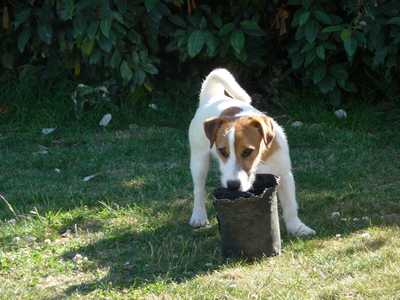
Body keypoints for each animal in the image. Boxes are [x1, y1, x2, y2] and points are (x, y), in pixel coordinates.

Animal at [188, 68, 316, 237]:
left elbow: (290, 205)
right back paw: (198, 215)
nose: (233, 186)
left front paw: (297, 227)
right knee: (199, 188)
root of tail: (212, 97)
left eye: (247, 151)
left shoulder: (284, 174)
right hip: (199, 160)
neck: (259, 163)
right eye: (222, 151)